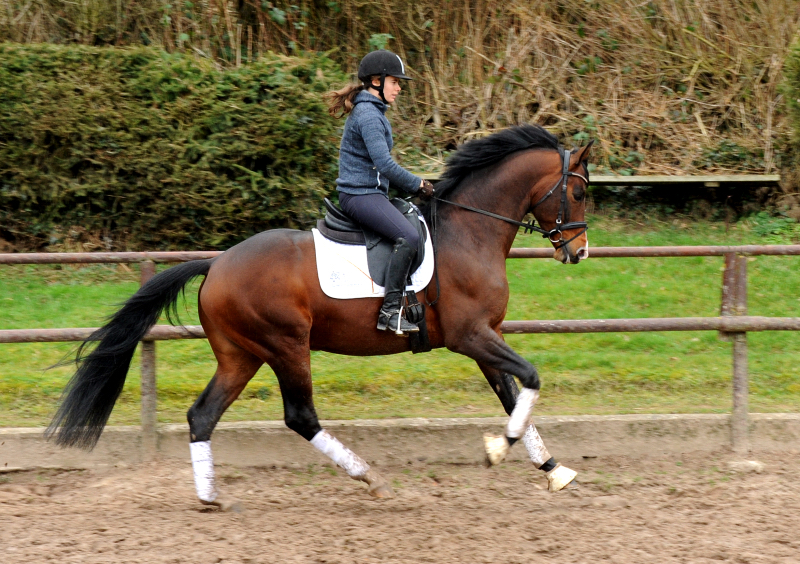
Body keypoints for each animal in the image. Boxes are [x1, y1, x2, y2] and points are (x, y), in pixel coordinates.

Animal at [47, 125, 592, 508]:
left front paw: (553, 469)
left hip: (240, 355)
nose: (580, 252)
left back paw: (210, 496)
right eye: (580, 193)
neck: (469, 231)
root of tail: (216, 263)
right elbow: (530, 379)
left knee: (202, 415)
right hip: (286, 345)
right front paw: (499, 449)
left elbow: (513, 394)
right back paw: (370, 478)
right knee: (300, 416)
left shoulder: (484, 338)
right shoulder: (471, 335)